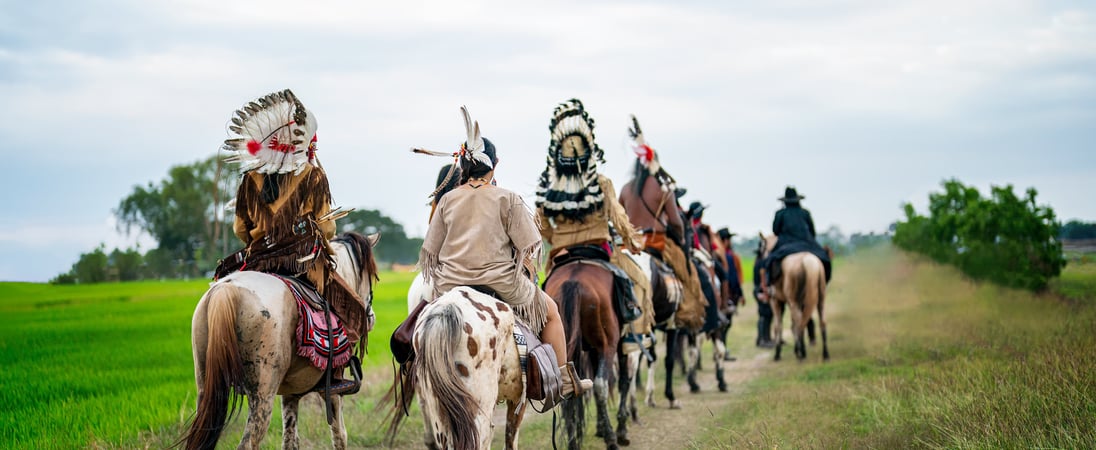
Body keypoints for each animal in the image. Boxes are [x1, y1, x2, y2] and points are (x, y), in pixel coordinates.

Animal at [181, 234, 379, 448]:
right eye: (371, 278)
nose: (371, 318)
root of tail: (226, 288)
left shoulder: (291, 393)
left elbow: (290, 440)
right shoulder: (333, 389)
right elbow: (340, 436)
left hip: (206, 386)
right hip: (262, 394)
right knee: (248, 443)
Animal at [541, 260, 626, 450]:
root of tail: (573, 281)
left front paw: (600, 428)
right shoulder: (623, 342)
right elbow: (624, 379)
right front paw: (621, 429)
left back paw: (574, 443)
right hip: (607, 345)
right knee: (601, 386)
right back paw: (611, 439)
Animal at [762, 232, 828, 363]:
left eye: (762, 247)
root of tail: (808, 261)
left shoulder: (775, 302)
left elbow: (778, 326)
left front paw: (778, 354)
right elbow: (791, 325)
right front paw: (795, 350)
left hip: (793, 302)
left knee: (799, 324)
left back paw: (802, 353)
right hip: (820, 300)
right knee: (820, 322)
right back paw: (825, 354)